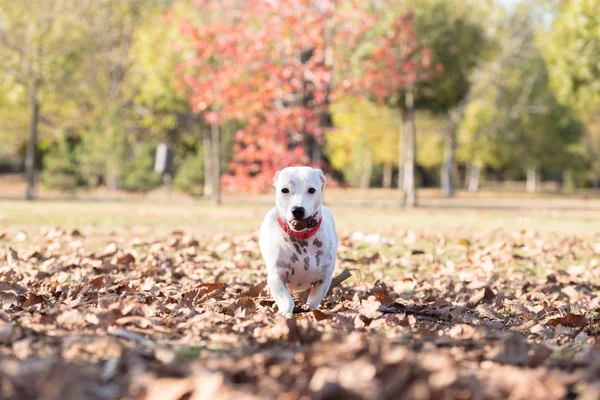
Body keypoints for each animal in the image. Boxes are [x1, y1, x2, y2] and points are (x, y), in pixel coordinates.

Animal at [260, 166, 340, 316]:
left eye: (311, 190)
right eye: (284, 190)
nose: (297, 210)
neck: (302, 238)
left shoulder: (324, 279)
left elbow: (314, 300)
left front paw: (309, 309)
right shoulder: (276, 277)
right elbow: (286, 299)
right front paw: (286, 312)